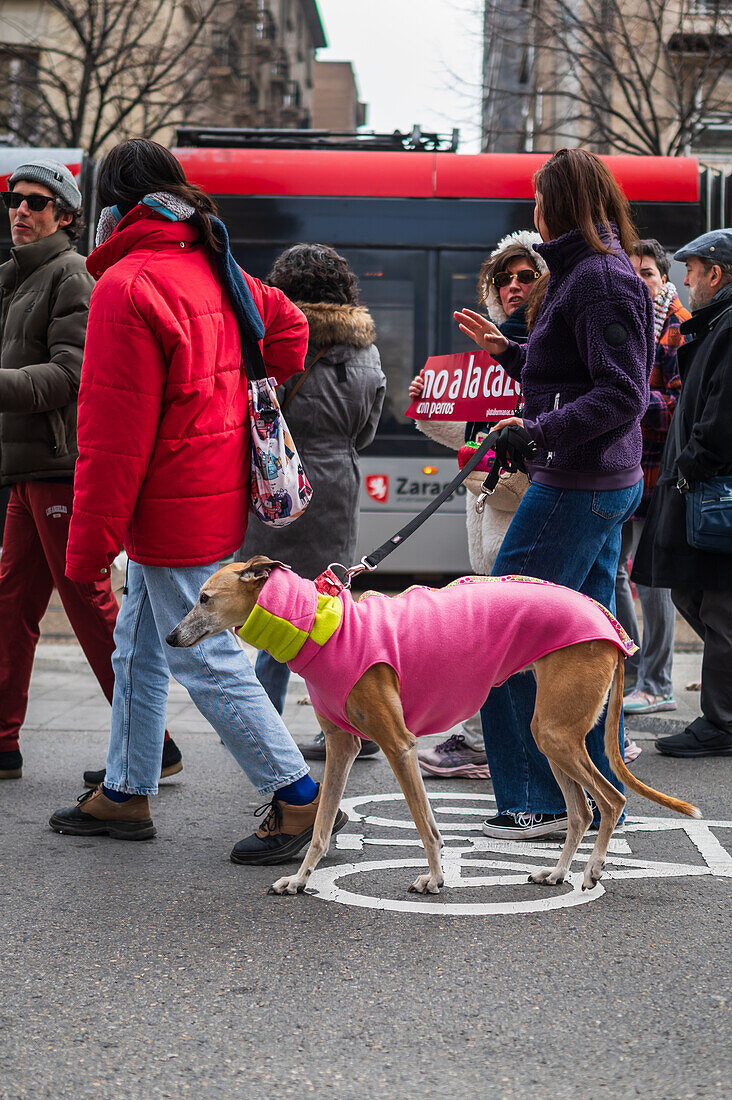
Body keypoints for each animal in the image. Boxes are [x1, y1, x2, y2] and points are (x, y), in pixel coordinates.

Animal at [168, 554, 700, 897]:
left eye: (204, 598)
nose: (171, 638)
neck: (326, 627)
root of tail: (610, 625)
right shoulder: (341, 746)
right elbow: (320, 825)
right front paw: (299, 880)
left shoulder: (398, 745)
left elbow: (427, 824)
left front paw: (437, 878)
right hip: (550, 734)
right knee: (581, 812)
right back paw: (556, 874)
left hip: (558, 733)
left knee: (610, 801)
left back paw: (590, 871)